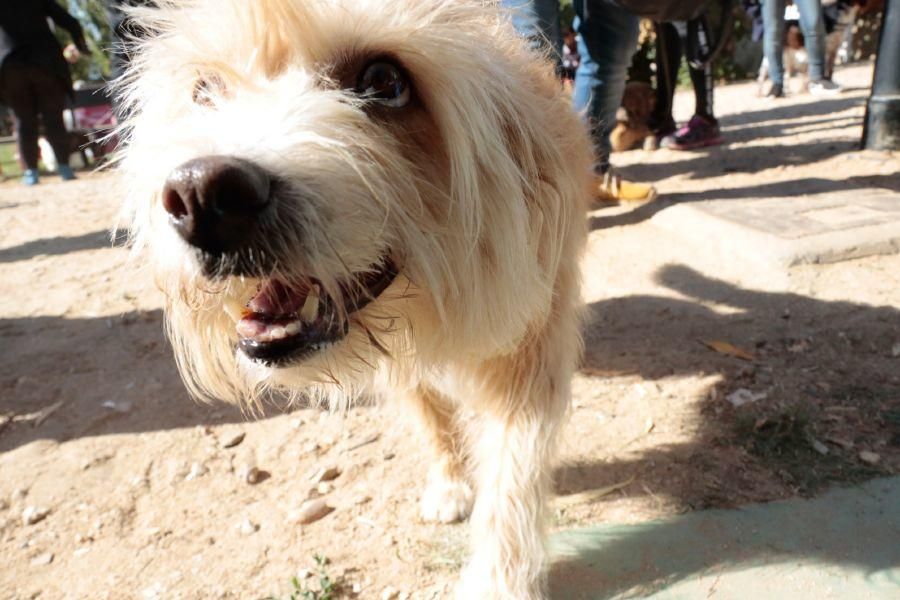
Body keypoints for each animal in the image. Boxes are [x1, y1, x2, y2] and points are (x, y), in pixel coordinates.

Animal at [116, 0, 596, 596]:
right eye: (204, 90)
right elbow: (430, 418)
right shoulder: (403, 365)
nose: (201, 194)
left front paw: (499, 582)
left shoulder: (532, 355)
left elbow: (514, 480)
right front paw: (449, 483)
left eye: (385, 81)